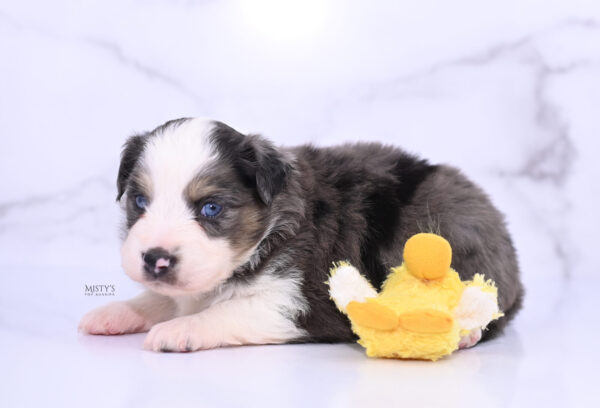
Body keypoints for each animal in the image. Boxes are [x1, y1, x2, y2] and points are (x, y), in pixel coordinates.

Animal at [78, 117, 520, 350]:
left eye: (211, 208)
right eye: (139, 201)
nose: (156, 258)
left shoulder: (298, 300)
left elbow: (225, 311)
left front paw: (177, 330)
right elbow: (161, 298)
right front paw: (115, 312)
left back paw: (464, 334)